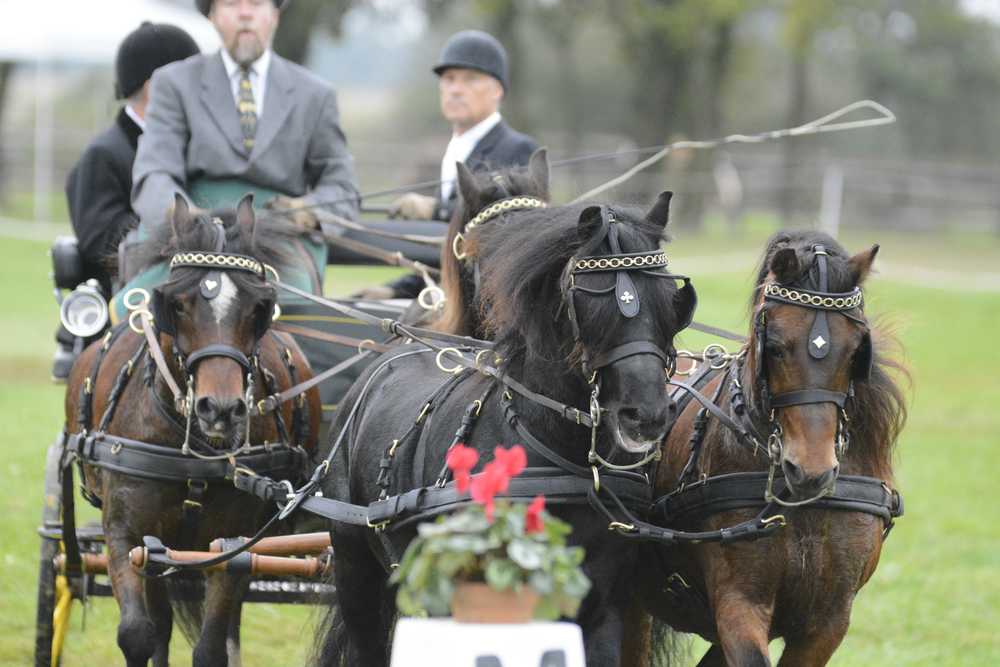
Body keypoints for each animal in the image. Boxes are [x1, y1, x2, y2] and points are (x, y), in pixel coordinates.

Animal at [63, 194, 321, 667]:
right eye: (176, 305)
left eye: (258, 308)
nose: (219, 409)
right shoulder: (126, 534)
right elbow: (138, 634)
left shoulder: (232, 542)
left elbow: (211, 646)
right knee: (160, 622)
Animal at [316, 193, 697, 666]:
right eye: (589, 301)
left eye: (670, 299)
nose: (646, 415)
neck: (557, 459)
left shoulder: (602, 608)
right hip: (356, 568)